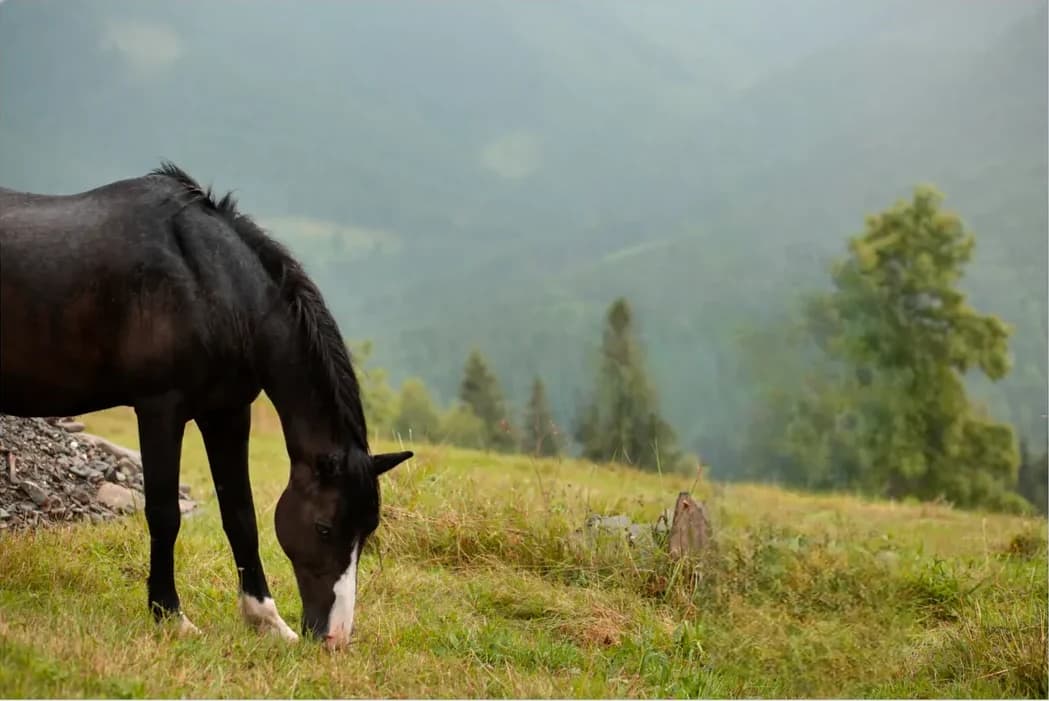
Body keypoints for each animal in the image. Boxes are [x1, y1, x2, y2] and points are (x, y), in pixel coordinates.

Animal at [0, 163, 412, 648]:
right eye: (324, 528)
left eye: (368, 531)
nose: (335, 638)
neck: (207, 282)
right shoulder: (160, 410)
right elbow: (164, 514)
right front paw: (169, 614)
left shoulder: (227, 413)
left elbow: (240, 516)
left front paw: (266, 620)